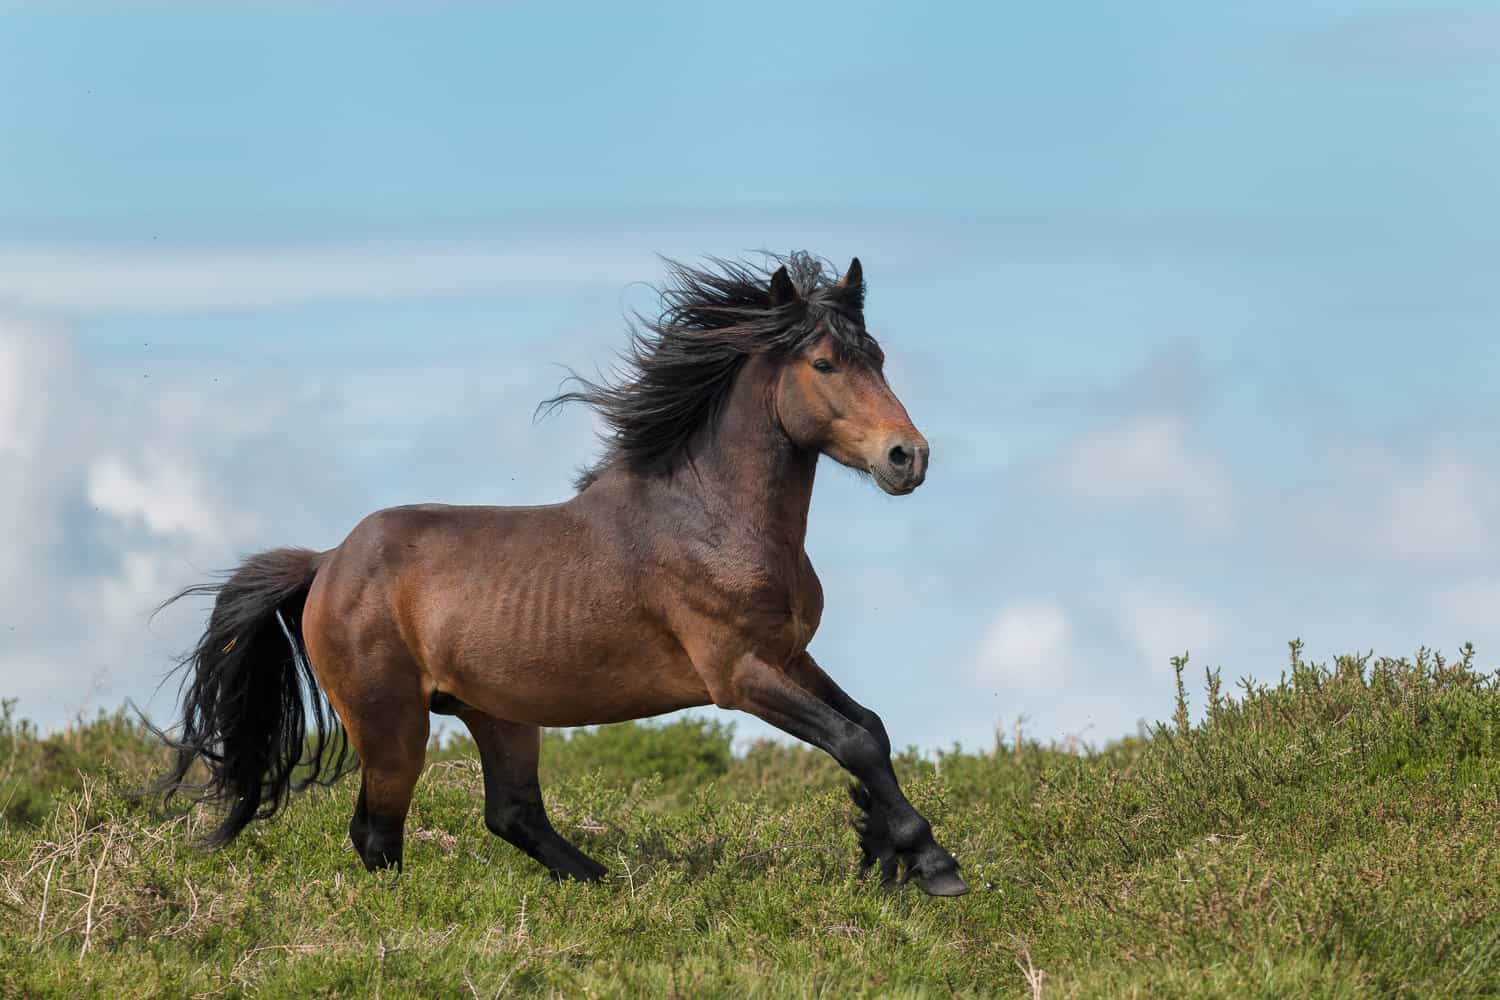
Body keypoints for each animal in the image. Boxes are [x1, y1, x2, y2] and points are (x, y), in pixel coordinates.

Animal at [153, 252, 969, 897]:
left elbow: (870, 727)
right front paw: (931, 865)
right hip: (393, 724)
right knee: (378, 833)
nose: (908, 457)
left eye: (879, 357)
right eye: (824, 363)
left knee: (512, 813)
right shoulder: (738, 674)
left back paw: (605, 884)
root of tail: (326, 563)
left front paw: (881, 848)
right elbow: (853, 740)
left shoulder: (791, 655)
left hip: (499, 712)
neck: (710, 518)